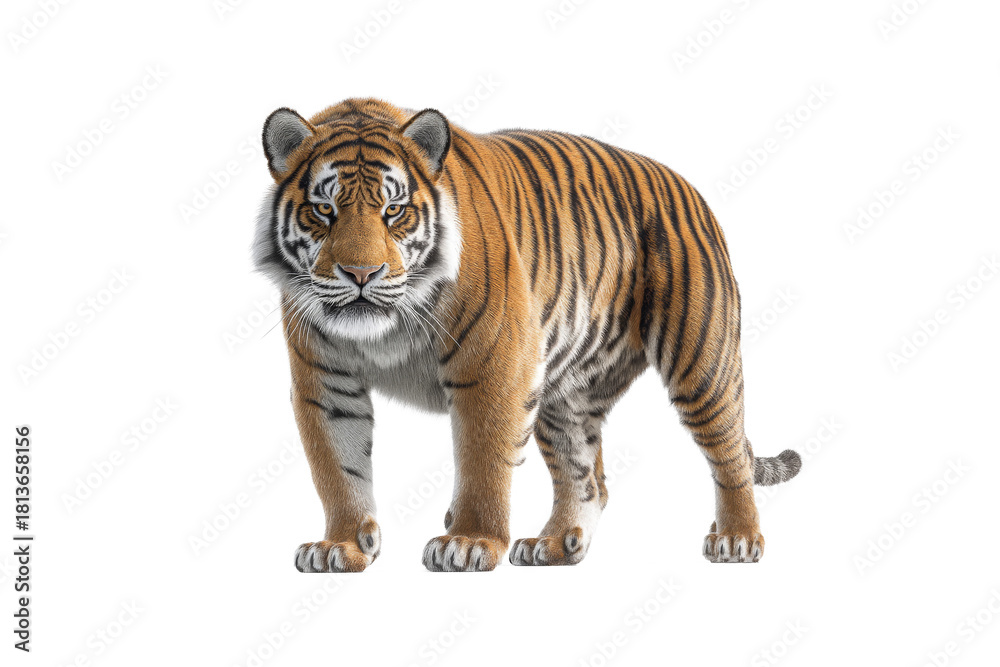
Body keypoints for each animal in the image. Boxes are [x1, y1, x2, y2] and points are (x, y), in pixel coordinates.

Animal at [252, 97, 802, 572]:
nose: (361, 274)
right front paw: (341, 546)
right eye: (325, 210)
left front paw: (468, 543)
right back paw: (556, 544)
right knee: (586, 478)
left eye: (394, 211)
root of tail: (687, 187)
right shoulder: (325, 384)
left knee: (729, 454)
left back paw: (737, 539)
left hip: (700, 363)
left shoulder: (493, 366)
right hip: (567, 395)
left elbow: (482, 462)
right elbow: (337, 470)